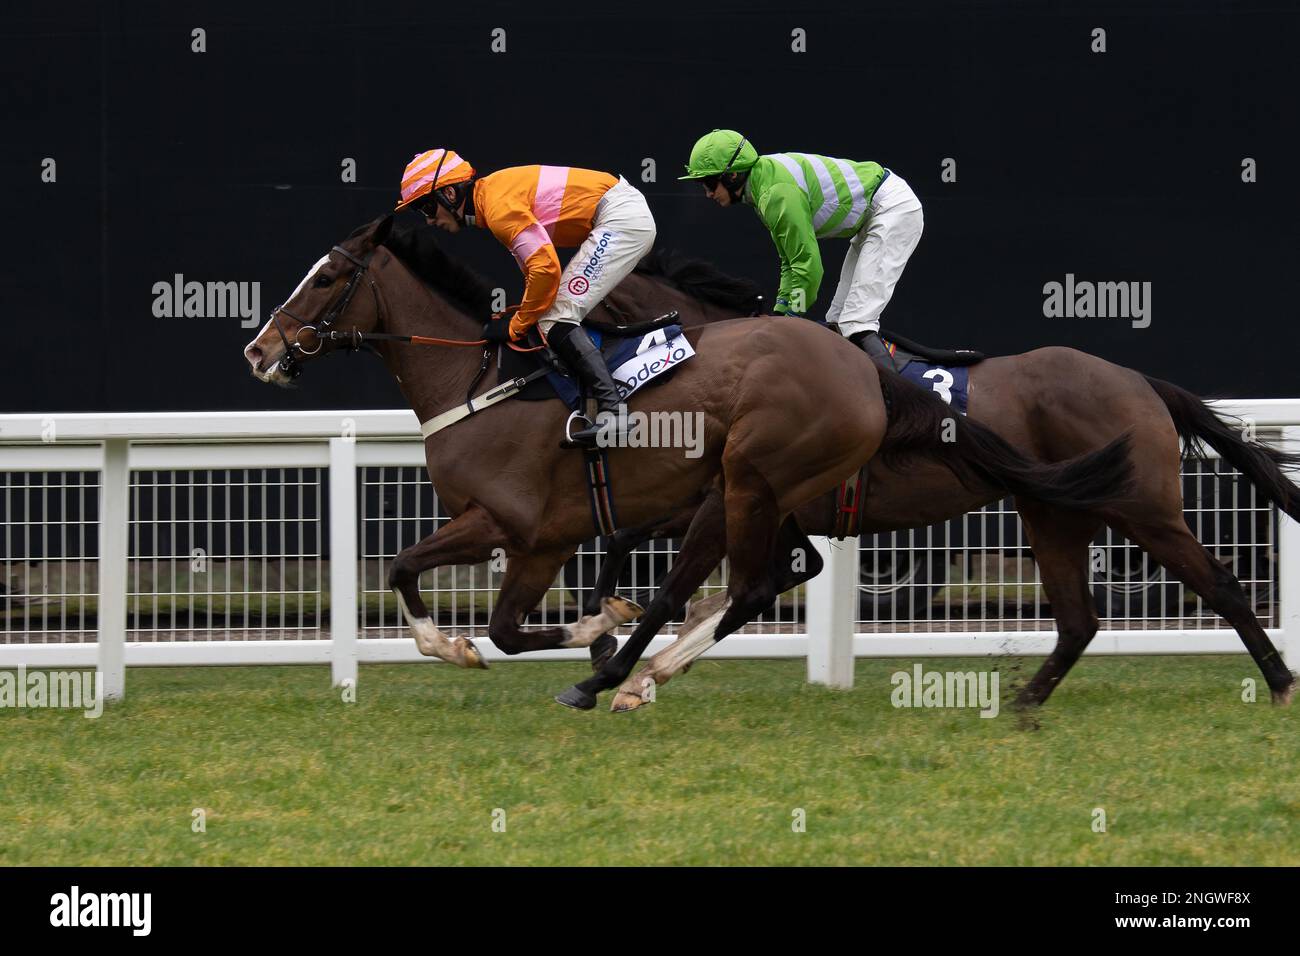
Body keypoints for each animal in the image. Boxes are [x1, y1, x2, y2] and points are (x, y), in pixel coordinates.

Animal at [244, 219, 1138, 686]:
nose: (260, 349)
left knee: (751, 583)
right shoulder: (544, 536)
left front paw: (585, 629)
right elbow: (469, 604)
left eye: (325, 278)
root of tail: (864, 373)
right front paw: (591, 625)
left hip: (751, 480)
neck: (482, 380)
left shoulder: (519, 527)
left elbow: (444, 592)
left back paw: (632, 673)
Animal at [551, 257, 1300, 712]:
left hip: (1143, 509)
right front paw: (598, 626)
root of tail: (1142, 381)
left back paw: (1280, 685)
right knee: (1079, 620)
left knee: (1220, 584)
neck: (740, 370)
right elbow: (631, 540)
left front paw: (608, 672)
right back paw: (1024, 702)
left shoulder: (735, 499)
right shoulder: (757, 507)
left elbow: (673, 576)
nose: (541, 361)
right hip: (1055, 514)